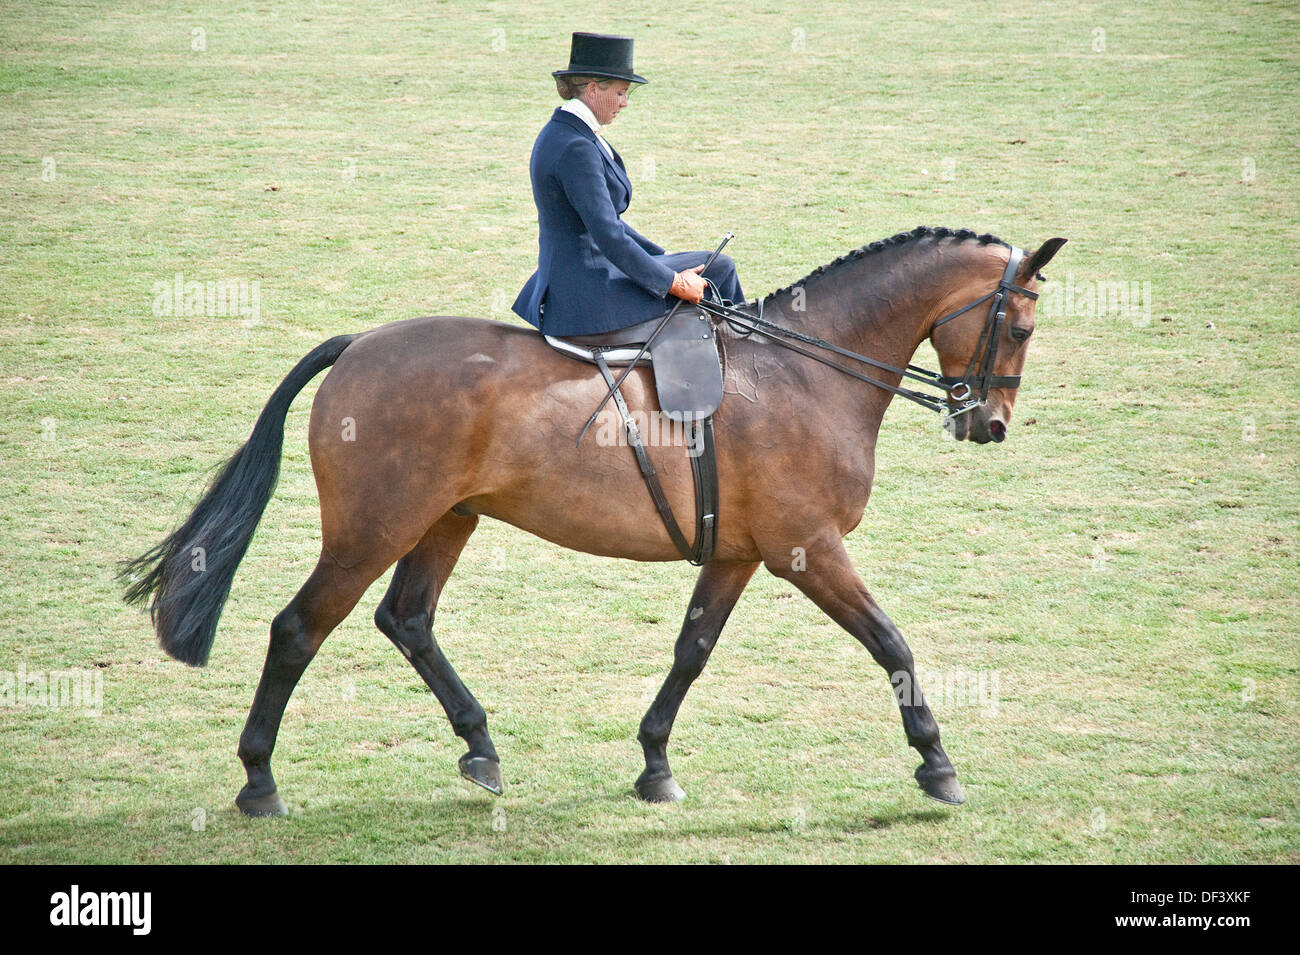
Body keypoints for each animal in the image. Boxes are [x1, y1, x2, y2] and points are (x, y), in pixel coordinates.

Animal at [121, 226, 1066, 816]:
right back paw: (259, 780)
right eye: (1019, 327)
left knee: (407, 618)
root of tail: (357, 345)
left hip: (446, 519)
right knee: (298, 628)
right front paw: (937, 764)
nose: (989, 424)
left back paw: (480, 746)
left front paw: (654, 764)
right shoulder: (808, 548)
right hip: (372, 529)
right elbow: (891, 641)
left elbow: (691, 649)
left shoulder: (738, 553)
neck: (806, 371)